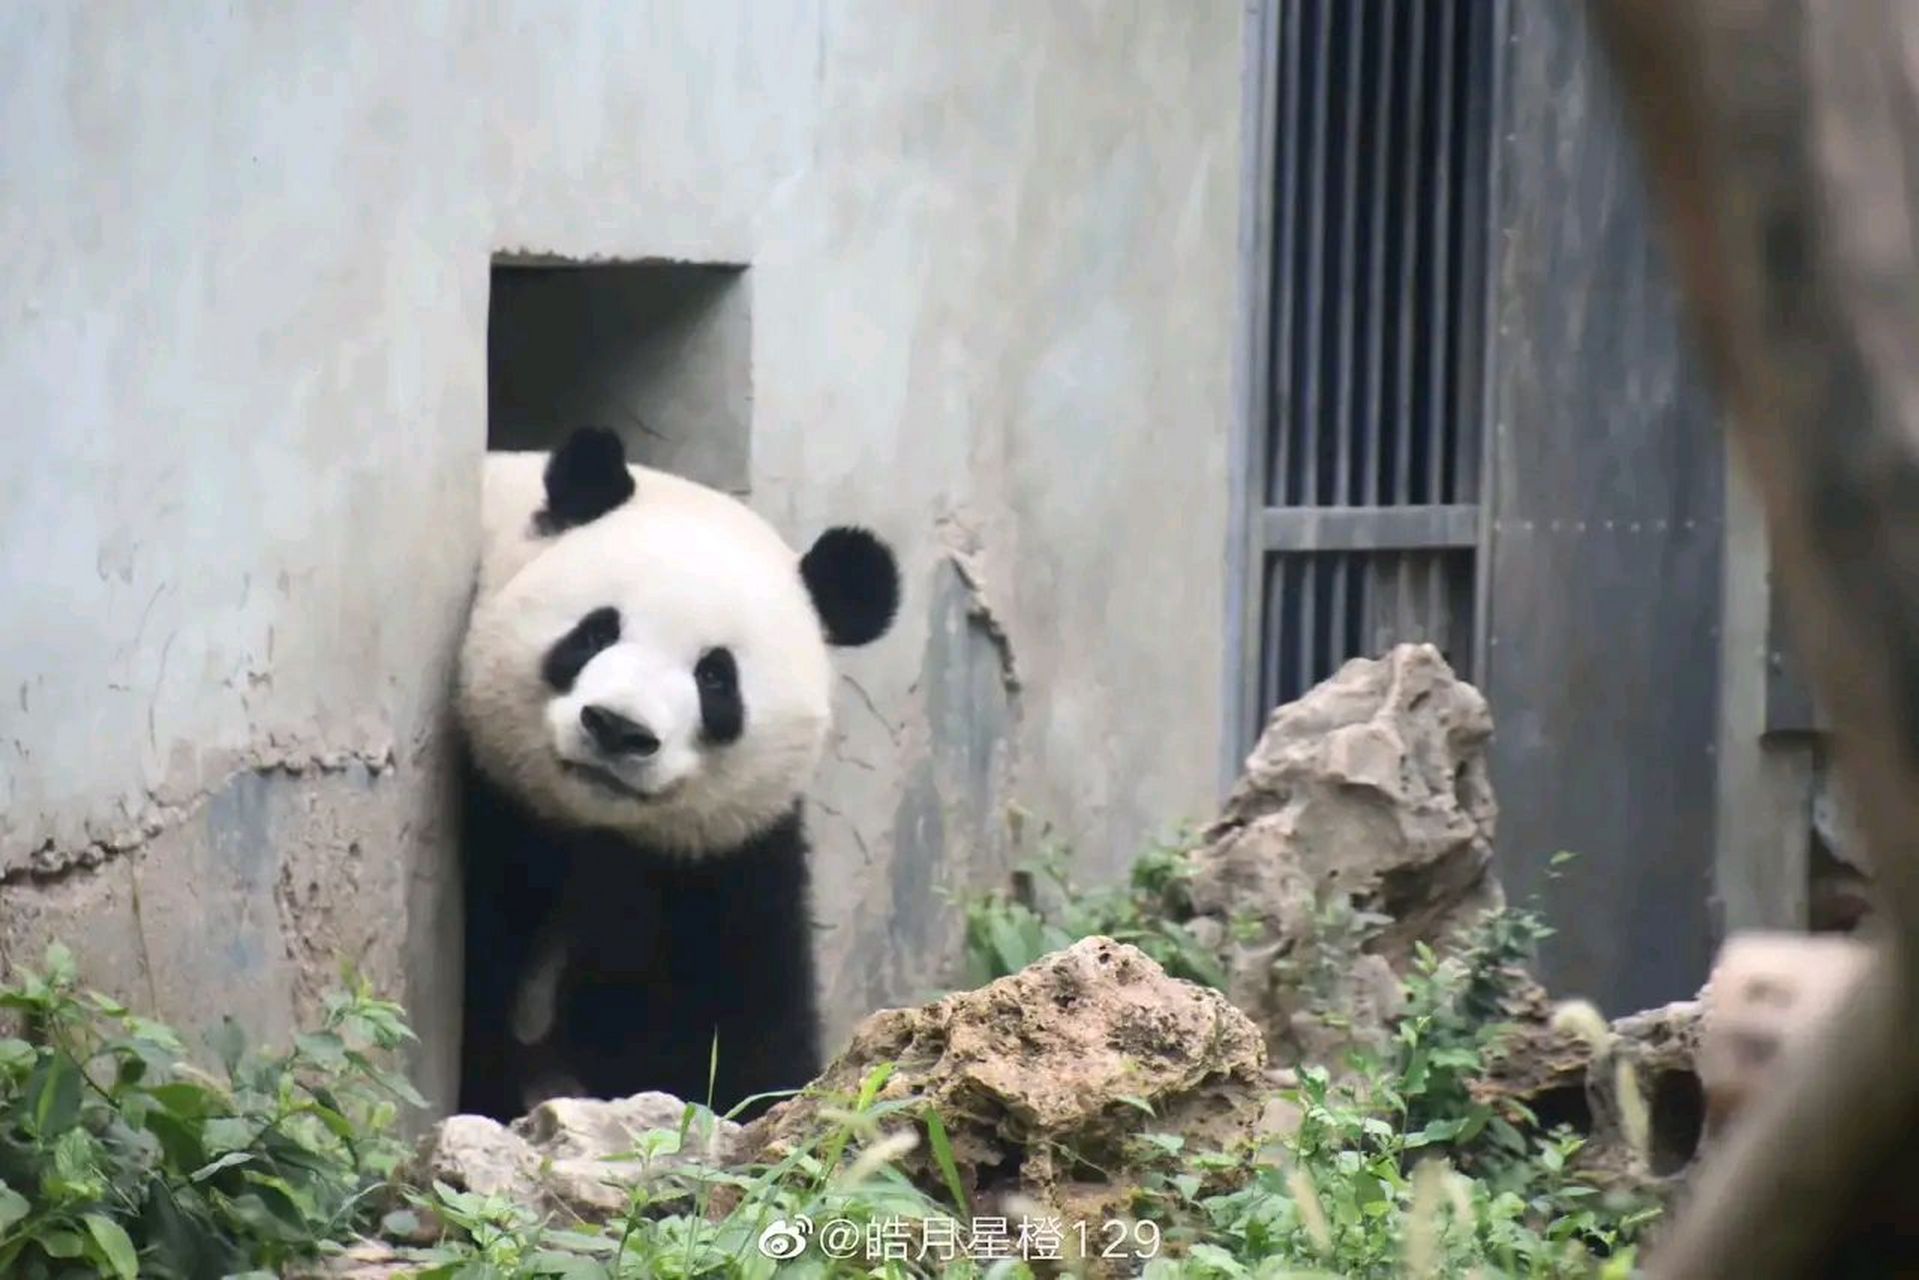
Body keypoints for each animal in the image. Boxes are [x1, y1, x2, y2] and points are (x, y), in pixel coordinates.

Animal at [452, 427, 901, 1120]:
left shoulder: (725, 855)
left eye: (715, 677)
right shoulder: (493, 804)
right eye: (595, 632)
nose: (617, 727)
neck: (597, 830)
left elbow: (737, 1001)